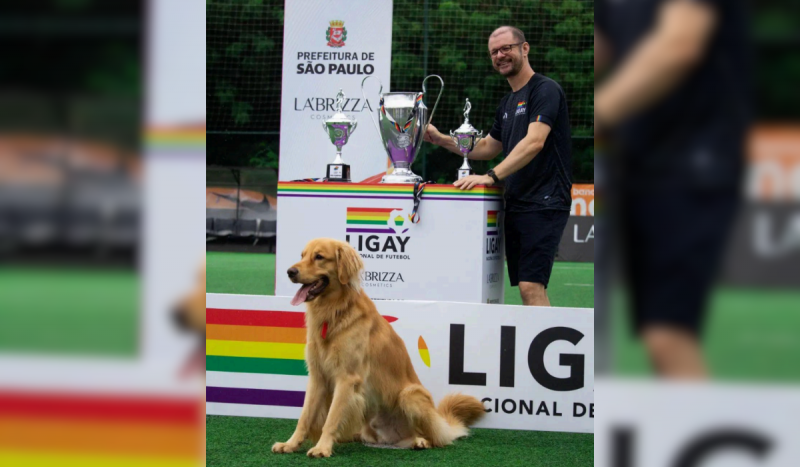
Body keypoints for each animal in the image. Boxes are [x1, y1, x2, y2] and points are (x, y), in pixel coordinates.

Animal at [272, 239, 484, 458]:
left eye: (319, 257)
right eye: (302, 255)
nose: (290, 271)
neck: (335, 312)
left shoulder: (347, 378)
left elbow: (331, 418)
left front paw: (322, 447)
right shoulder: (318, 376)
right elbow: (304, 416)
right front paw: (290, 444)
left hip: (410, 394)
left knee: (436, 438)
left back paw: (421, 441)